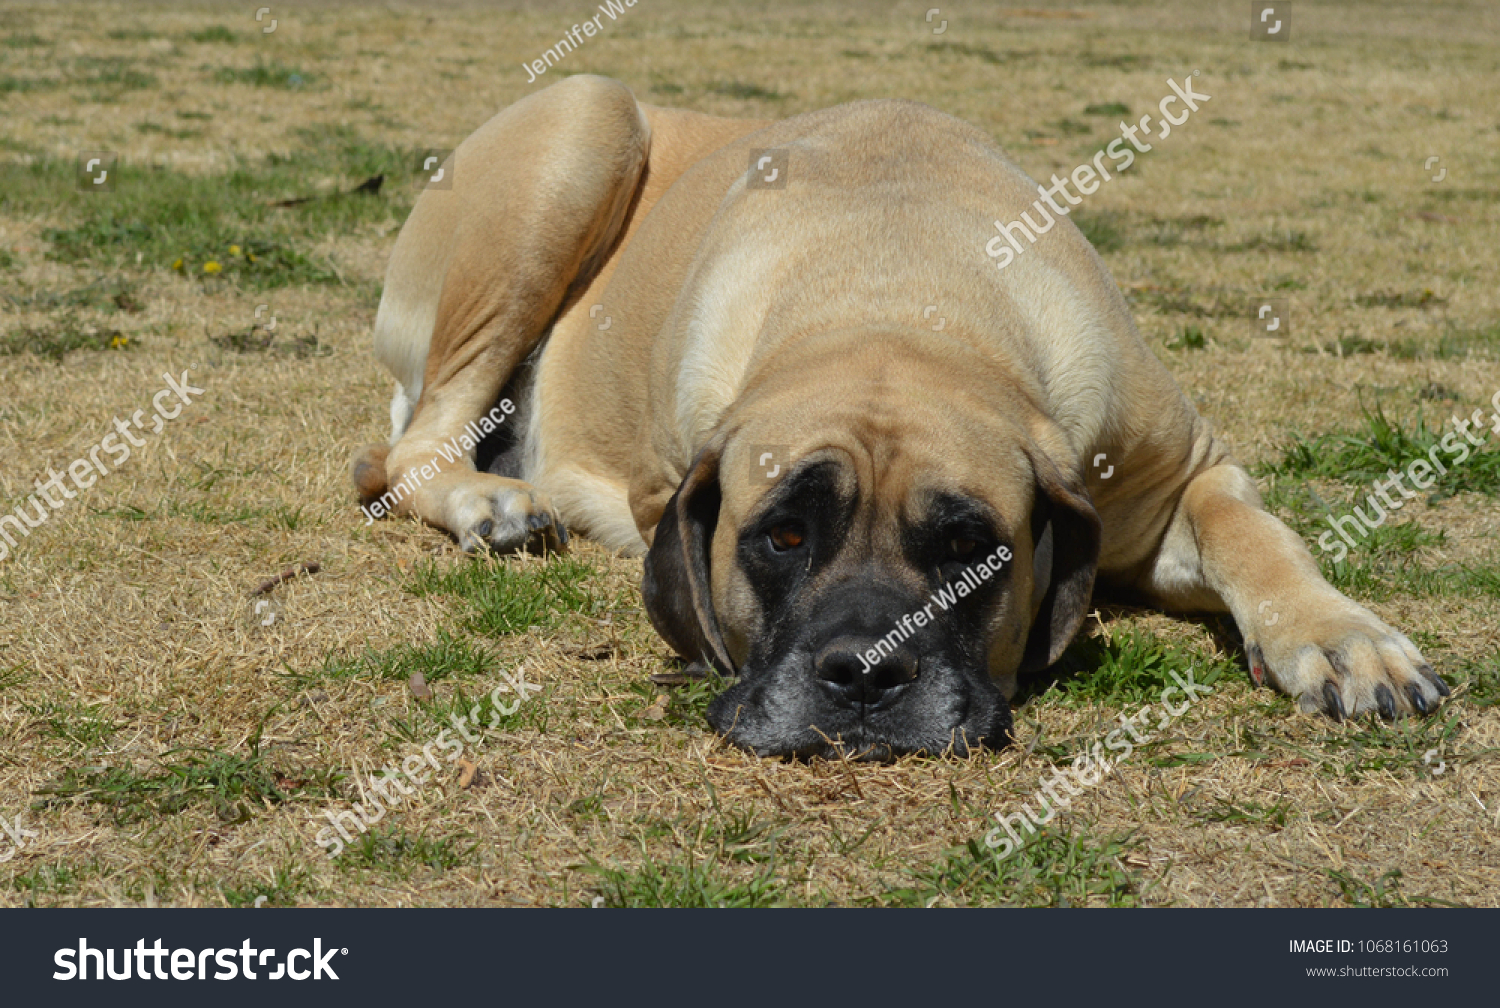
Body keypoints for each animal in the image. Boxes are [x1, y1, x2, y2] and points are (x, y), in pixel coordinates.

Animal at [348, 75, 1440, 759]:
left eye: (969, 549)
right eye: (783, 536)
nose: (866, 673)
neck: (896, 290)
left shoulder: (1181, 471)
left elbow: (1252, 532)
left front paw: (1338, 637)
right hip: (587, 123)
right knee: (407, 451)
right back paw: (491, 503)